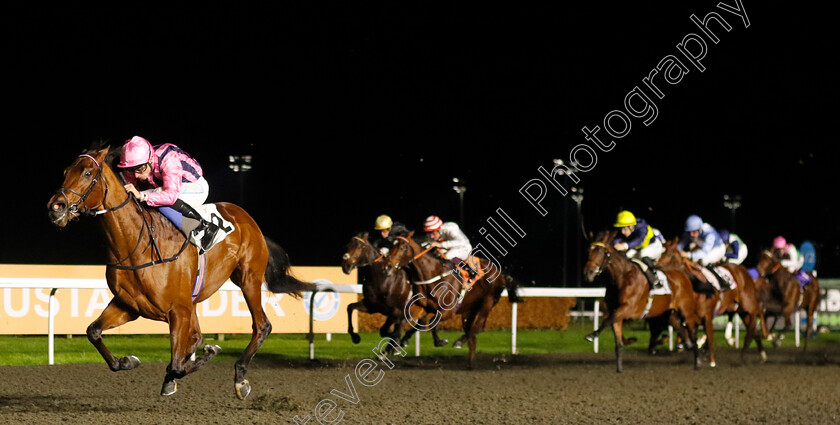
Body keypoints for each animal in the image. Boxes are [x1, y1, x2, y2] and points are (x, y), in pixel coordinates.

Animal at [46, 144, 316, 400]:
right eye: (65, 171)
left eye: (87, 173)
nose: (55, 207)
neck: (138, 245)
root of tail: (248, 220)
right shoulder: (130, 306)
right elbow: (93, 332)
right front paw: (128, 361)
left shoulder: (178, 310)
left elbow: (177, 364)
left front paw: (202, 358)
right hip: (196, 299)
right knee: (198, 336)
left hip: (248, 279)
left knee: (261, 326)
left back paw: (240, 377)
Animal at [384, 230, 516, 366]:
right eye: (390, 246)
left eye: (402, 247)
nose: (388, 266)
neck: (432, 274)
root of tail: (500, 273)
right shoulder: (421, 306)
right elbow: (405, 321)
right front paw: (393, 345)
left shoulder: (448, 311)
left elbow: (432, 322)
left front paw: (439, 341)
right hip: (469, 308)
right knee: (472, 328)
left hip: (488, 302)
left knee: (478, 326)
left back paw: (463, 343)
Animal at [580, 229, 700, 372]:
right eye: (588, 251)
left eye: (600, 252)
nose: (588, 273)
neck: (622, 277)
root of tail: (683, 275)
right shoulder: (616, 310)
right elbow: (617, 340)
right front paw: (619, 369)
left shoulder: (628, 308)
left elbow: (607, 320)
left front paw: (592, 335)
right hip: (668, 313)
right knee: (680, 329)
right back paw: (687, 347)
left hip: (686, 310)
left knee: (692, 331)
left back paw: (697, 361)